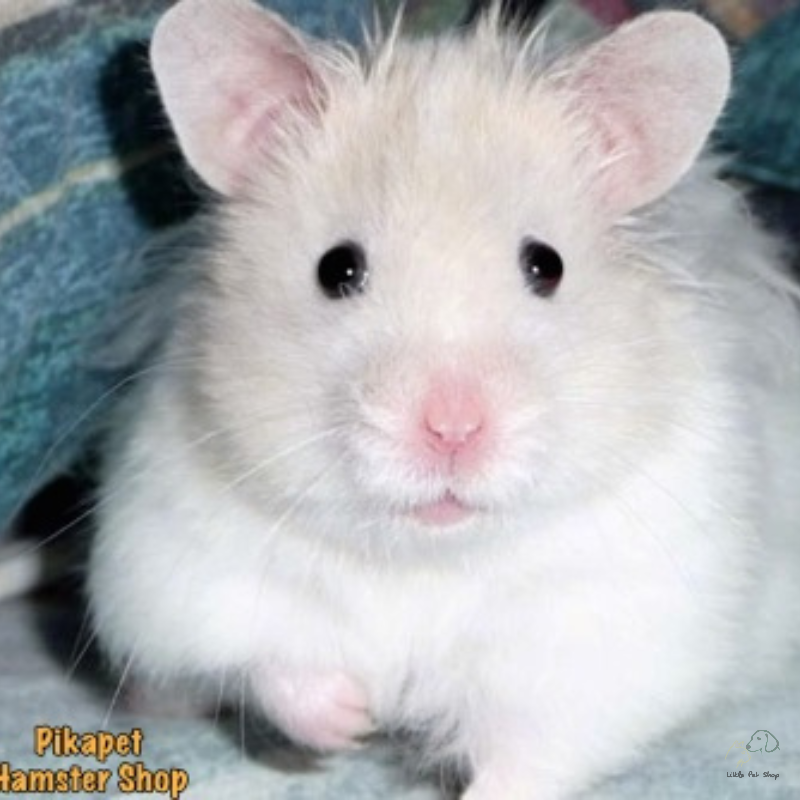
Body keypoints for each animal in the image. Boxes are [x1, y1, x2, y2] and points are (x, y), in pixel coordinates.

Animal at [88, 1, 800, 797]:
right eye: (337, 268)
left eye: (545, 265)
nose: (452, 430)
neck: (424, 556)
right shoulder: (186, 563)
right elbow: (264, 661)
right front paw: (351, 721)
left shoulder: (595, 645)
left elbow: (531, 758)